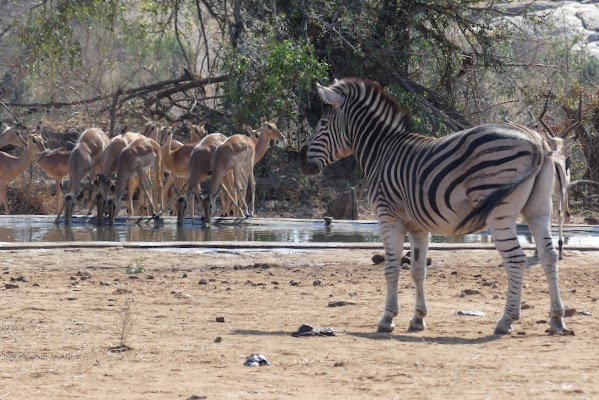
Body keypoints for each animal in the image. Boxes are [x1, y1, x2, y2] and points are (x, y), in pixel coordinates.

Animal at [302, 77, 568, 334]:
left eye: (323, 123)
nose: (303, 164)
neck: (382, 152)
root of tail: (536, 141)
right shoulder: (419, 226)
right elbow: (418, 269)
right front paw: (418, 319)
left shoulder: (388, 218)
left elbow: (391, 268)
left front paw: (387, 319)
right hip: (538, 210)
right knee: (549, 255)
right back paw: (556, 319)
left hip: (499, 213)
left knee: (516, 259)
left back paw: (506, 320)